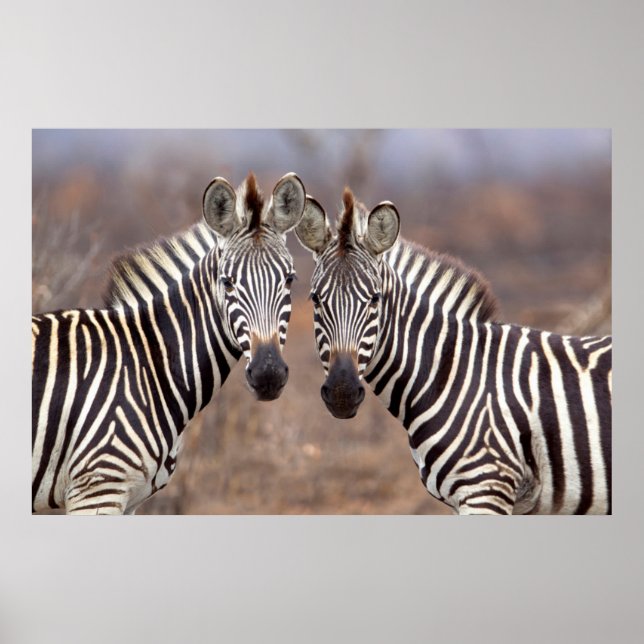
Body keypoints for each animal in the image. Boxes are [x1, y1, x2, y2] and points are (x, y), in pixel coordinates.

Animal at [32, 171, 307, 514]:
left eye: (290, 279)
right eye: (227, 282)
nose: (268, 374)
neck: (149, 366)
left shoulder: (130, 500)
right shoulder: (96, 490)